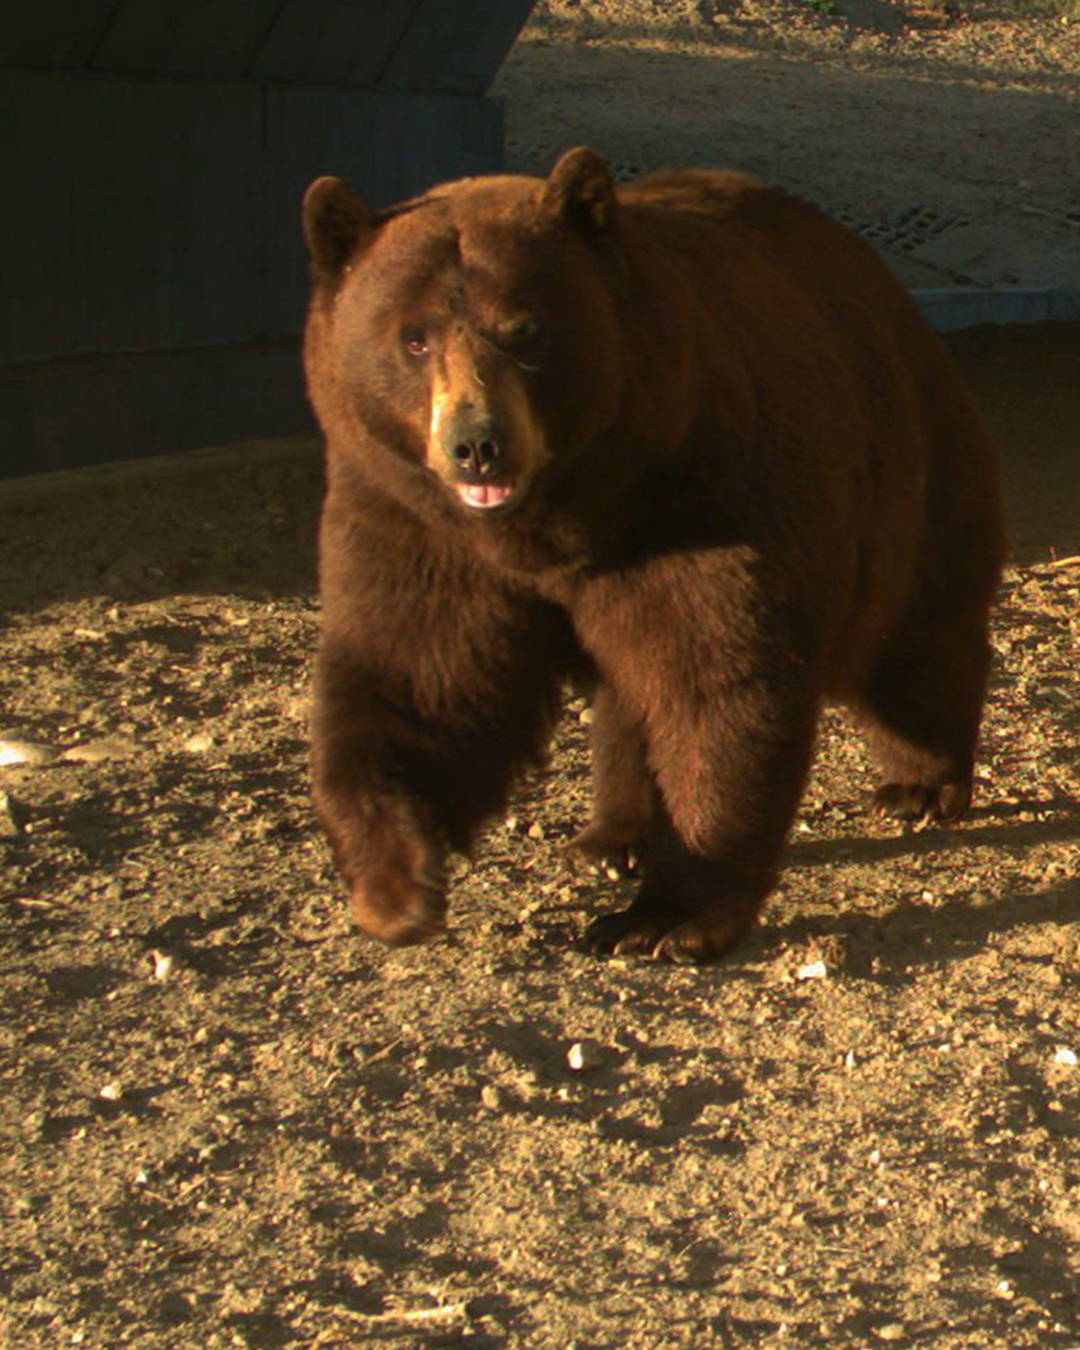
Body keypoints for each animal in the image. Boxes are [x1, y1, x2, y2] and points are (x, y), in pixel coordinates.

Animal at [301, 146, 1006, 963]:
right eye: (412, 338)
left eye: (525, 329)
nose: (477, 444)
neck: (559, 518)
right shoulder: (413, 520)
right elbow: (421, 676)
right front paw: (395, 886)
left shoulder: (696, 494)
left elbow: (715, 682)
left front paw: (661, 917)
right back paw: (613, 834)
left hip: (909, 462)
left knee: (915, 638)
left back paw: (921, 783)